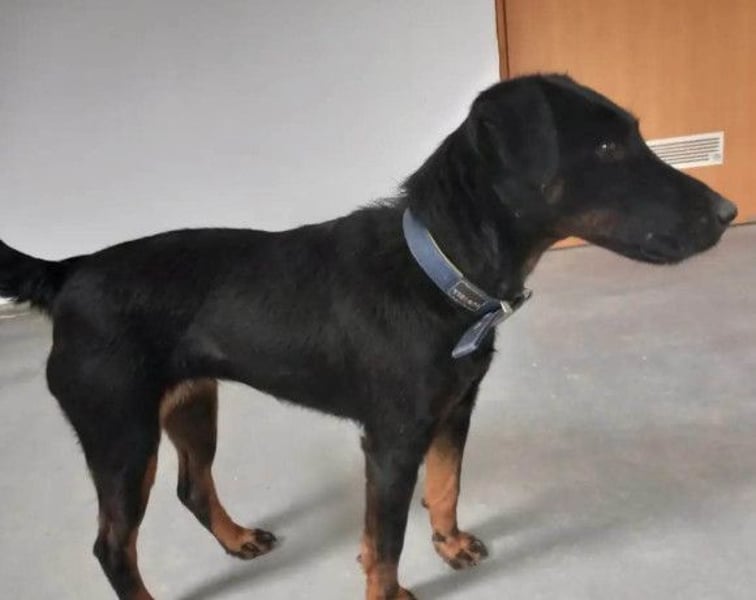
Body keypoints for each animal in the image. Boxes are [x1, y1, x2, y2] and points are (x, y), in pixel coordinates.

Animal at [0, 74, 737, 599]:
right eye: (608, 149)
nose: (729, 212)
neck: (439, 267)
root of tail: (68, 273)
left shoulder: (452, 412)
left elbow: (444, 488)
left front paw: (451, 545)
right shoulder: (391, 441)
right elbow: (385, 540)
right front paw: (392, 589)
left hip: (189, 403)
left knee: (192, 488)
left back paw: (238, 540)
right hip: (120, 435)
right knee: (113, 546)